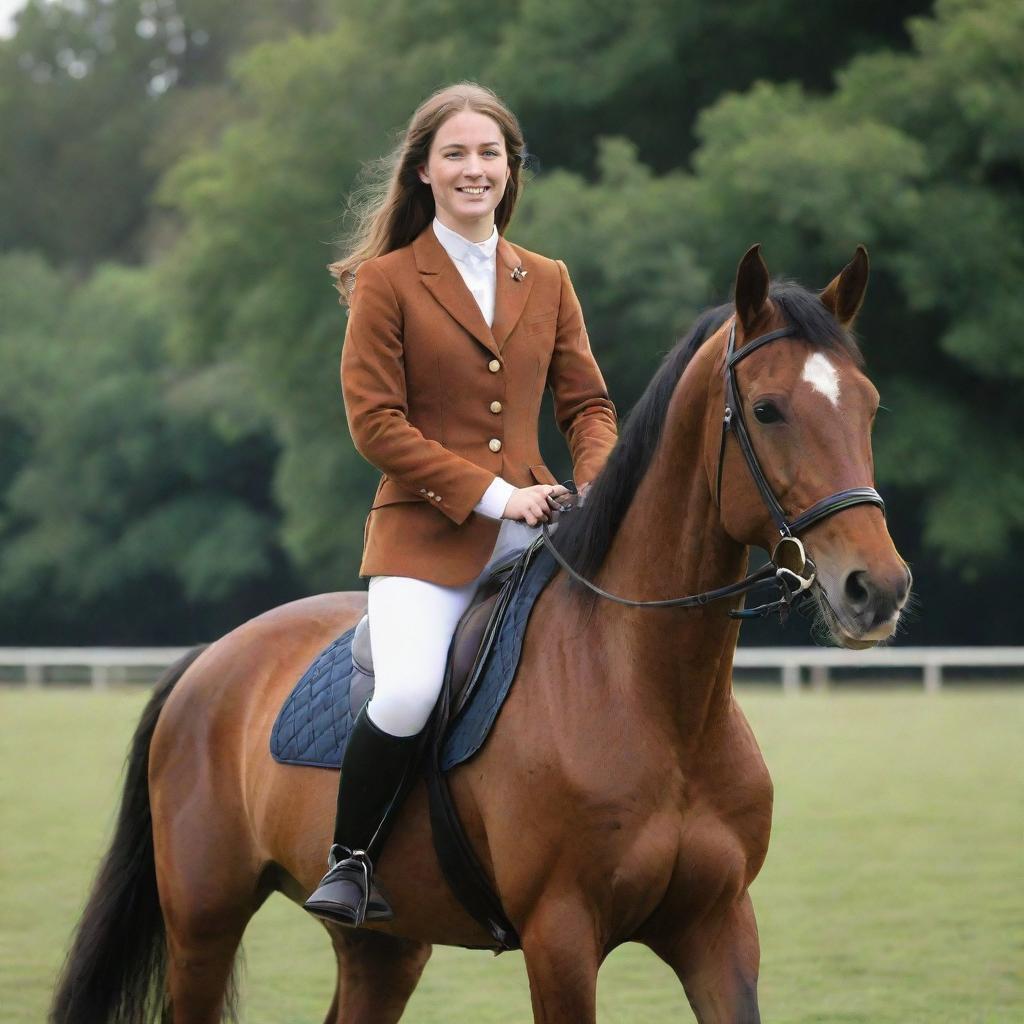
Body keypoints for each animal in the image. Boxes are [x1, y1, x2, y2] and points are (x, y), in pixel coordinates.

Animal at [51, 245, 913, 1024]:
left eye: (870, 407)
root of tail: (211, 659)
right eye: (767, 410)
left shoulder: (719, 928)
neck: (651, 695)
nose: (878, 589)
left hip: (384, 944)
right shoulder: (560, 938)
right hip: (205, 920)